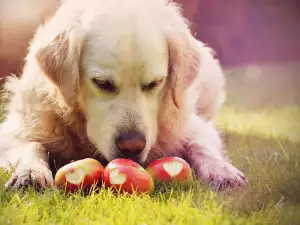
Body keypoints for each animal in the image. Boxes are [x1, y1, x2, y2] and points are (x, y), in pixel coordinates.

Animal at [0, 0, 247, 192]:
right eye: (102, 83)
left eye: (154, 83)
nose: (132, 147)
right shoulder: (18, 126)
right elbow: (32, 145)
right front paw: (30, 172)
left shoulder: (190, 126)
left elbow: (200, 145)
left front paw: (221, 170)